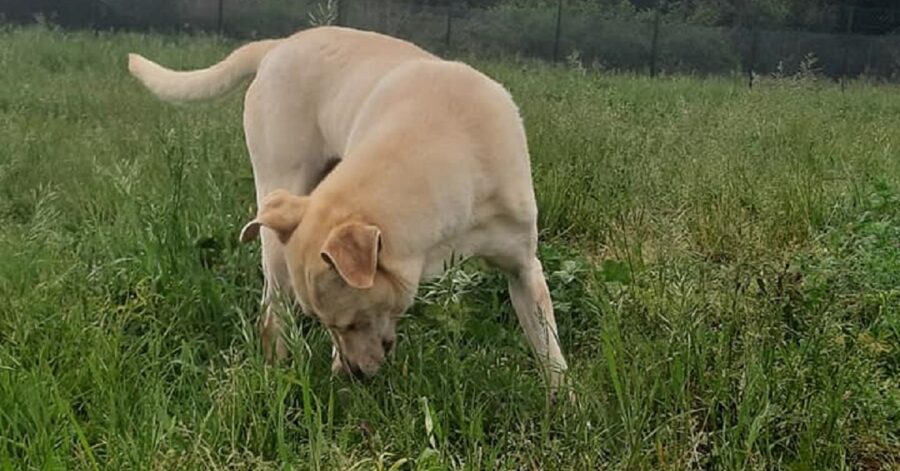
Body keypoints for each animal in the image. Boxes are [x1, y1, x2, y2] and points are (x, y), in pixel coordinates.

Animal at [128, 24, 568, 394]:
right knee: (271, 312)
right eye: (330, 325)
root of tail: (277, 45)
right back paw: (277, 371)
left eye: (353, 322)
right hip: (278, 207)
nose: (351, 374)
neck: (446, 136)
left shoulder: (523, 267)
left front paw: (564, 404)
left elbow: (548, 344)